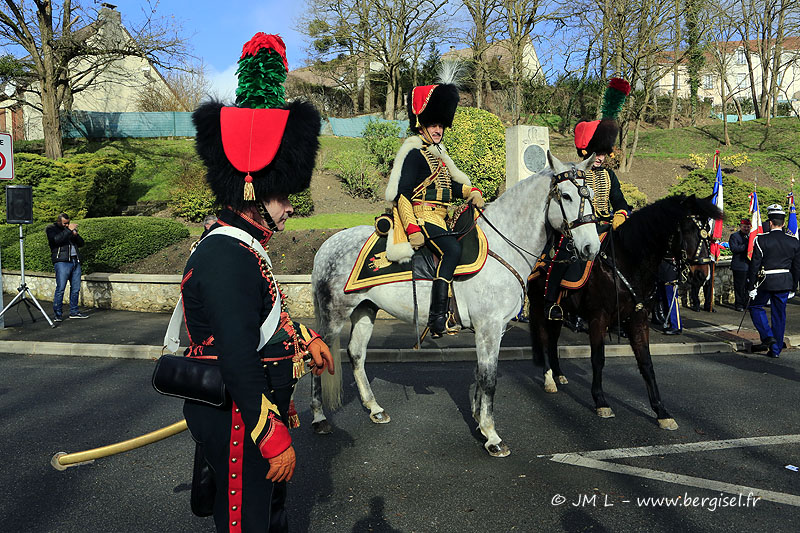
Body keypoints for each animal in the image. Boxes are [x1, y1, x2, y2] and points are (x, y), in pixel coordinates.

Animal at [306, 152, 600, 456]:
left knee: (356, 353)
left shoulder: (494, 330)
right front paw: (493, 436)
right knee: (317, 356)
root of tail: (328, 244)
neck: (502, 247)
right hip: (334, 314)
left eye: (591, 196)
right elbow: (489, 378)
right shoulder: (488, 327)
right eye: (566, 196)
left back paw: (374, 408)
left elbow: (480, 374)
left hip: (365, 309)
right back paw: (319, 417)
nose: (592, 248)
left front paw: (480, 422)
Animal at [528, 193, 720, 430]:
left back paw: (559, 375)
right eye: (687, 228)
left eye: (707, 230)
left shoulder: (638, 318)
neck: (628, 262)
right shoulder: (598, 317)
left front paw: (661, 411)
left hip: (558, 311)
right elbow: (598, 358)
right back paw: (549, 379)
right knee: (545, 339)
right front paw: (601, 401)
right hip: (539, 306)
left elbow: (646, 362)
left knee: (553, 339)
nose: (702, 274)